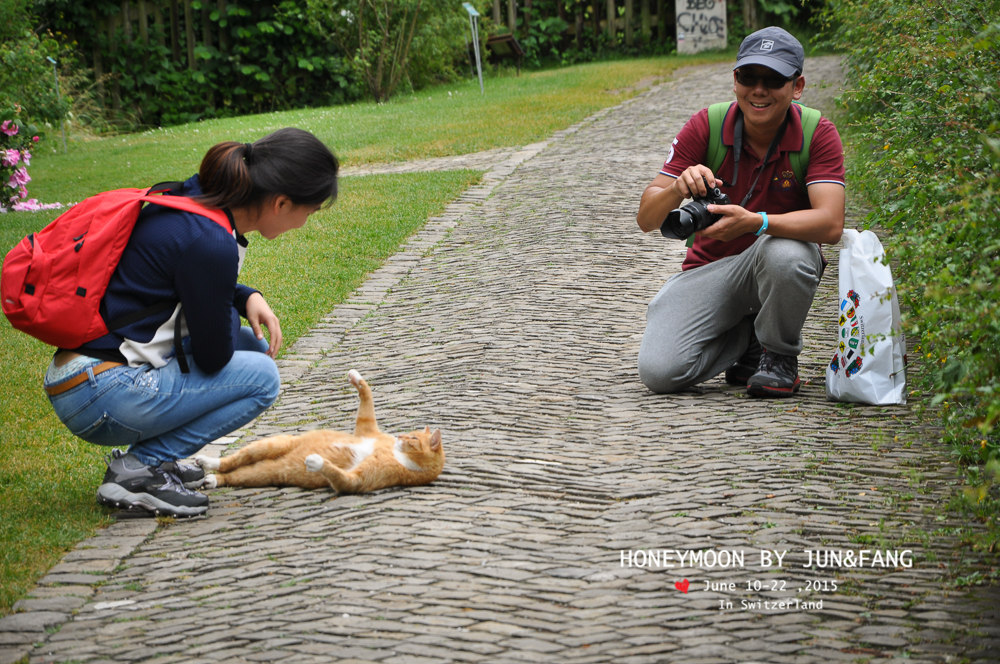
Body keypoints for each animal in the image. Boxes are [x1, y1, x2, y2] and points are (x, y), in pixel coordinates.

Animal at [193, 368, 444, 492]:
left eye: (413, 438)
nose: (399, 436)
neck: (397, 454)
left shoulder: (359, 481)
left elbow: (341, 478)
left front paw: (317, 462)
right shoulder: (366, 429)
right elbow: (367, 396)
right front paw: (356, 378)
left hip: (265, 473)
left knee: (235, 475)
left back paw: (213, 479)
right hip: (271, 444)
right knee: (231, 461)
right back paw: (208, 462)